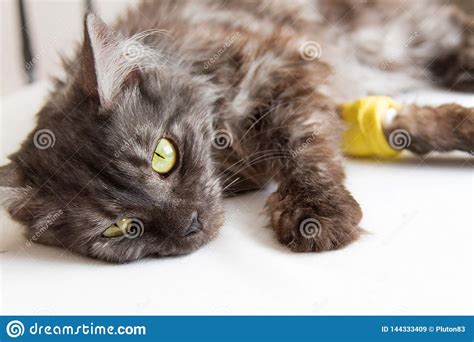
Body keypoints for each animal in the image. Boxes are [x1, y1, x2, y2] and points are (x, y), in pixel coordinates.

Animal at [0, 0, 472, 264]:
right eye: (120, 228)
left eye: (163, 155)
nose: (189, 223)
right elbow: (399, 125)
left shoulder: (285, 65)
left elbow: (304, 146)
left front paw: (317, 214)